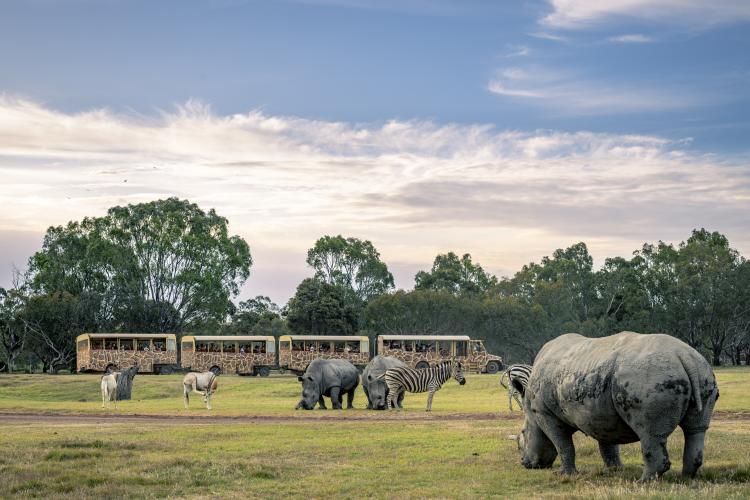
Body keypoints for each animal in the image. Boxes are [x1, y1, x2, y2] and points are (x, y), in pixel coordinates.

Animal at [515, 331, 719, 481]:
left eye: (522, 435)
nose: (524, 463)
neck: (531, 414)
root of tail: (684, 356)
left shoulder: (544, 413)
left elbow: (562, 444)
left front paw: (564, 475)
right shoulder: (599, 413)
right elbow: (607, 442)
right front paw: (615, 470)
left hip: (648, 377)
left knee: (650, 434)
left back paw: (643, 482)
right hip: (702, 372)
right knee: (696, 429)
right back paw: (687, 478)